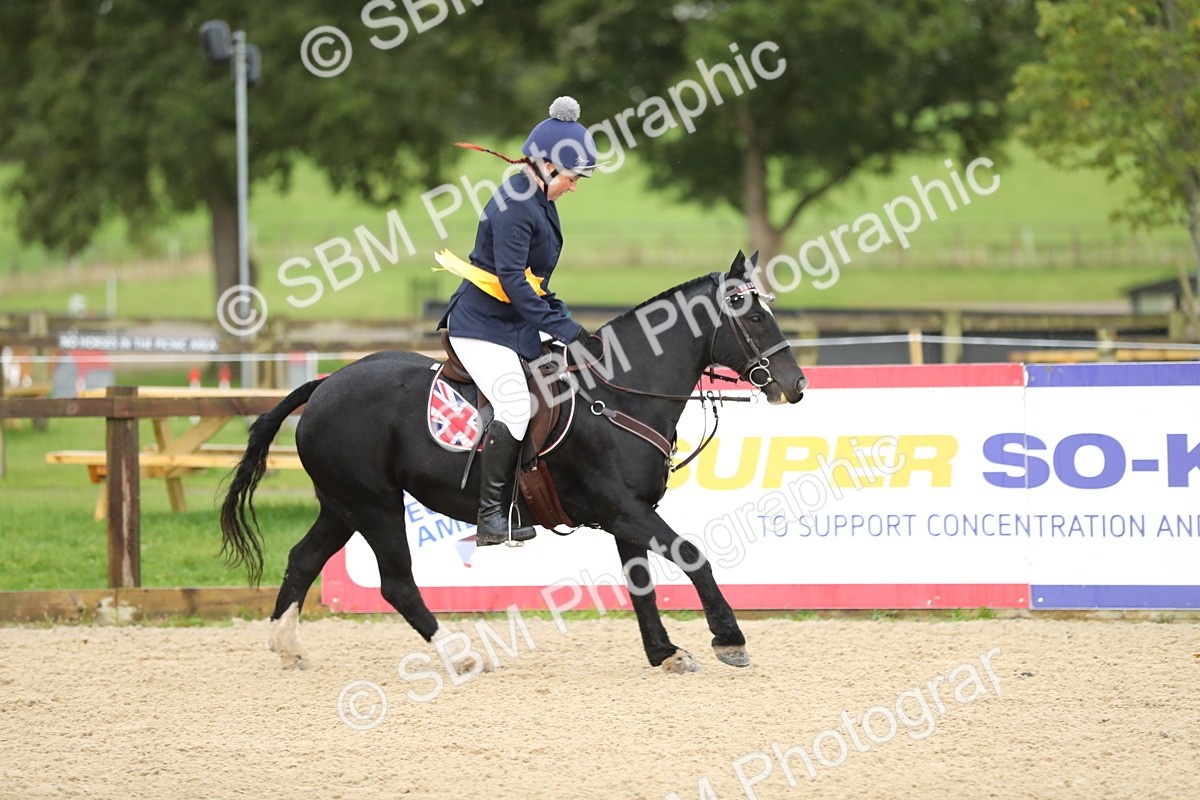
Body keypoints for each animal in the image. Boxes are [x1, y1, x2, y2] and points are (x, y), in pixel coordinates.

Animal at [220, 251, 808, 674]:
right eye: (755, 315)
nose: (795, 385)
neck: (618, 391)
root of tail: (324, 384)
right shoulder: (622, 507)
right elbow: (692, 556)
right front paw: (728, 639)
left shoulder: (629, 514)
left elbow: (640, 581)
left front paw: (664, 653)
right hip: (375, 506)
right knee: (397, 584)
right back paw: (457, 655)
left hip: (342, 505)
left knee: (302, 560)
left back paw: (289, 648)